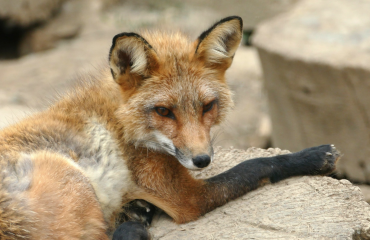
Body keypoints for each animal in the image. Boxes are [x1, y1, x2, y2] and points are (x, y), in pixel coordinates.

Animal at [0, 15, 342, 239]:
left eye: (207, 106)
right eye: (163, 111)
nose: (202, 160)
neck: (121, 123)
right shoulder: (187, 197)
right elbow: (258, 164)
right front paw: (313, 156)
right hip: (72, 179)